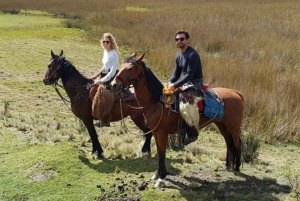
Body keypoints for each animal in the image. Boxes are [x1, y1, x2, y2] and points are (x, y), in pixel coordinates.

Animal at [110, 53, 244, 187]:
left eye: (130, 69)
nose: (113, 85)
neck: (156, 101)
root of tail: (236, 92)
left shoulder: (162, 132)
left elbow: (162, 153)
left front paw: (162, 178)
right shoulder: (156, 132)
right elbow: (159, 152)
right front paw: (158, 174)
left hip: (234, 127)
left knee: (237, 143)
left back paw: (237, 168)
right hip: (222, 125)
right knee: (229, 143)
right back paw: (229, 166)